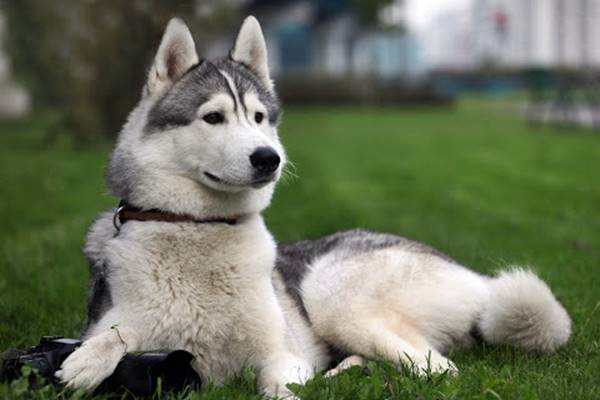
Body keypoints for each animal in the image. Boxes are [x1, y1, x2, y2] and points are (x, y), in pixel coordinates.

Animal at [56, 16, 572, 396]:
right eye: (213, 117)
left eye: (259, 117)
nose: (269, 158)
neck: (198, 228)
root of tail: (475, 277)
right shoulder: (120, 320)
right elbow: (114, 333)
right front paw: (88, 360)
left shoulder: (281, 357)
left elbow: (278, 387)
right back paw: (347, 372)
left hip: (332, 293)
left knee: (438, 368)